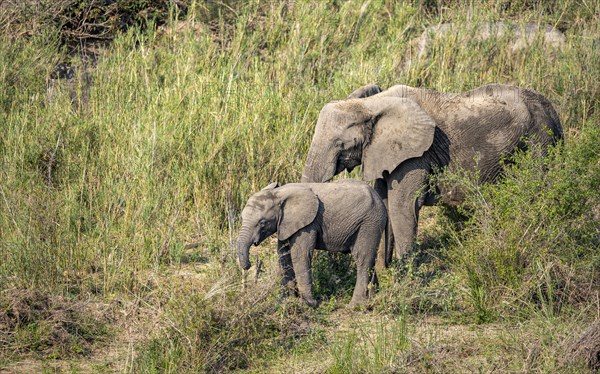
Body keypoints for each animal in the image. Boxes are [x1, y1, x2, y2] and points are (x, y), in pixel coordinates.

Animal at [237, 179, 386, 306]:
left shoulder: (307, 224)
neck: (279, 194)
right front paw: (287, 300)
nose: (249, 265)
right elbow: (284, 255)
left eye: (262, 223)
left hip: (370, 222)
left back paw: (355, 305)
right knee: (370, 260)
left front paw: (309, 304)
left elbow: (300, 255)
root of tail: (378, 197)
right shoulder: (285, 224)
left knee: (362, 259)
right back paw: (373, 298)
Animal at [302, 83, 564, 268]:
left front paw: (402, 279)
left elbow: (403, 205)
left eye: (340, 144)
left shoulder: (417, 154)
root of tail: (554, 112)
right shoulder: (386, 152)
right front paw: (382, 274)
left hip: (539, 142)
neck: (371, 104)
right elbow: (384, 203)